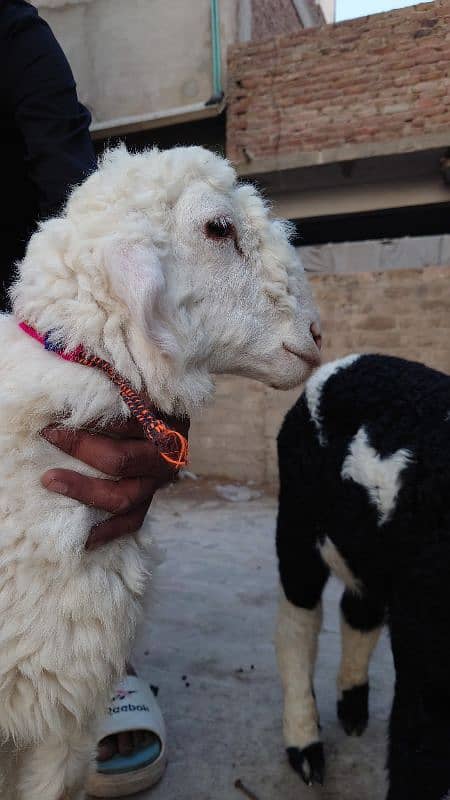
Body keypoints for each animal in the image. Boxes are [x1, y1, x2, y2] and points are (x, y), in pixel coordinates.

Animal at [276, 354, 450, 800]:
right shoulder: (425, 637)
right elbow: (417, 748)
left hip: (371, 554)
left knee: (358, 609)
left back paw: (353, 709)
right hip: (297, 517)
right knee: (297, 619)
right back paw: (306, 749)